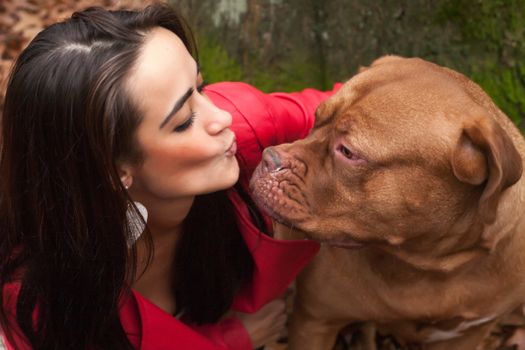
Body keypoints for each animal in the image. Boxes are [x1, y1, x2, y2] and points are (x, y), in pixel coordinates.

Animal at [249, 56, 524, 348]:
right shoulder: (315, 321)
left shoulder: (467, 335)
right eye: (316, 118)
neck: (425, 264)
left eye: (348, 152)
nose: (269, 159)